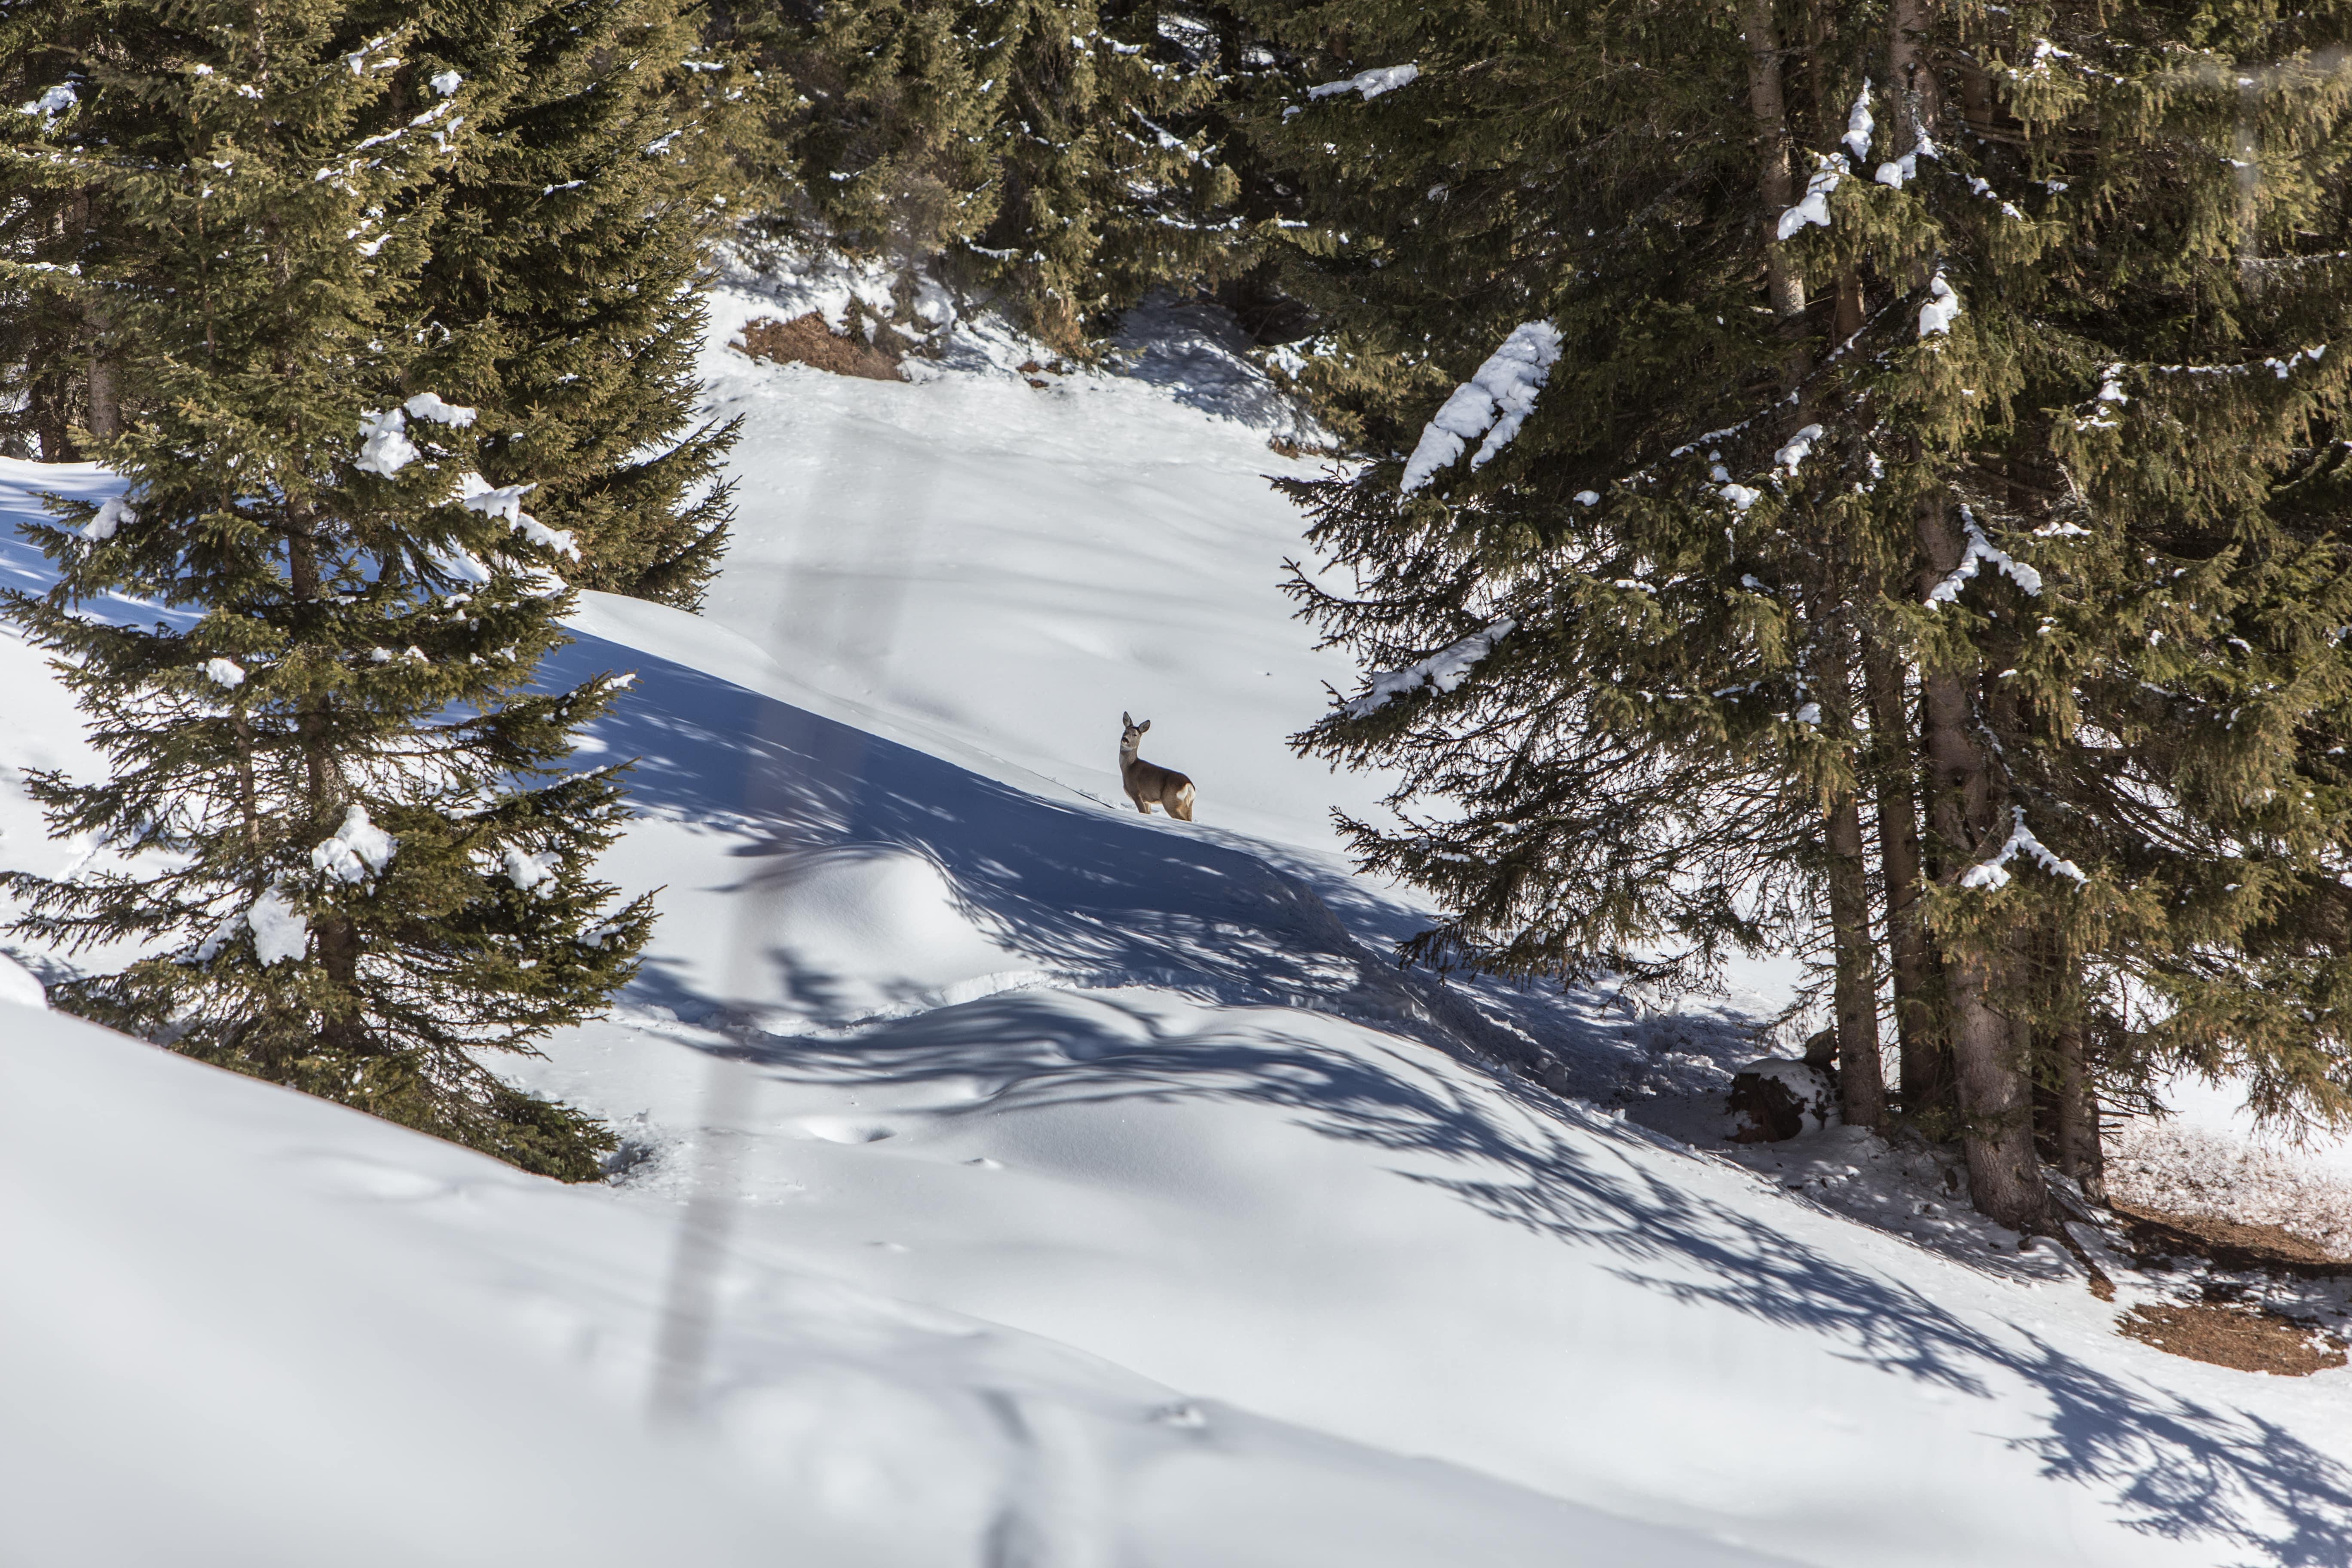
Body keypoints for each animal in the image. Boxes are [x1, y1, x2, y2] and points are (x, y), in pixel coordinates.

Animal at [1119, 712, 1196, 821]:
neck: (1129, 767)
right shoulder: (1147, 800)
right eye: (1125, 731)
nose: (1125, 739)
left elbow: (1142, 812)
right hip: (1188, 806)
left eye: (1135, 735)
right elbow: (1148, 813)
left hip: (1170, 801)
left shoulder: (1136, 793)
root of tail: (1189, 785)